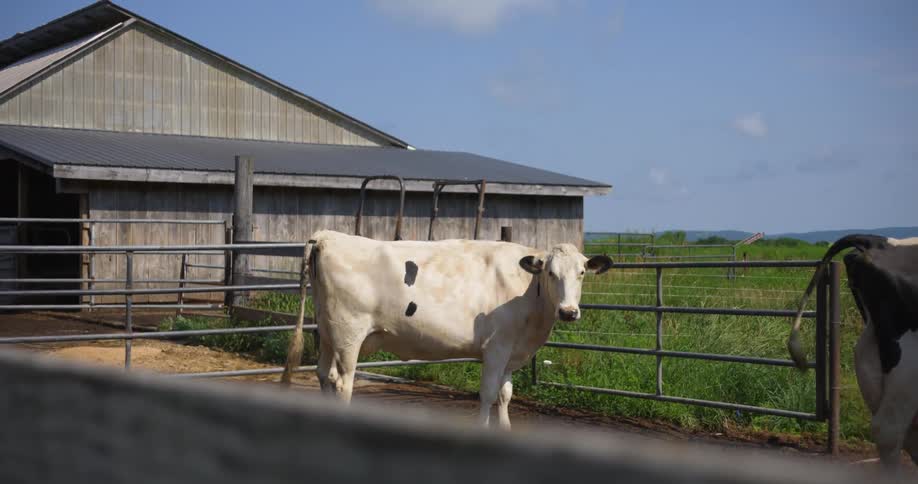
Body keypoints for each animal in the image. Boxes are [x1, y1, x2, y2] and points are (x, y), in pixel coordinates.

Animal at [282, 230, 613, 429]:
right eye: (550, 272)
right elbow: (488, 394)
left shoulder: (512, 351)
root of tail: (327, 236)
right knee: (342, 382)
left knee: (324, 375)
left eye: (582, 273)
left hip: (328, 331)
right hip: (349, 333)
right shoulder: (496, 347)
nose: (568, 312)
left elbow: (506, 394)